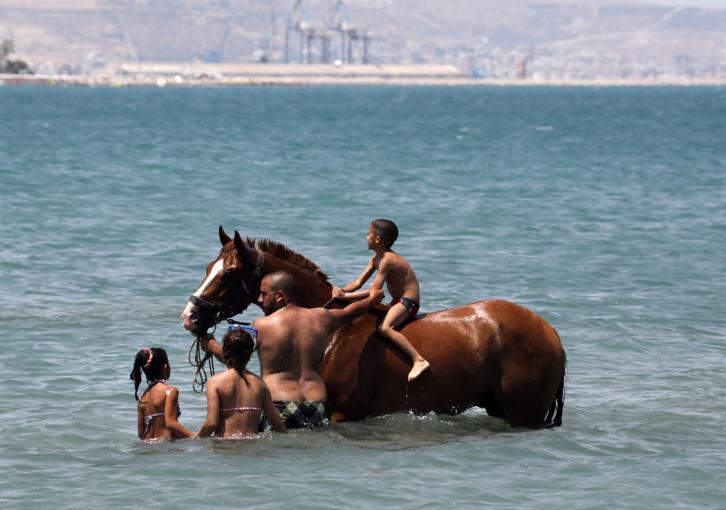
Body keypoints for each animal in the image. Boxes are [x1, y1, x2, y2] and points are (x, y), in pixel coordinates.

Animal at [182, 225, 568, 428]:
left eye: (229, 273)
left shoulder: (342, 414)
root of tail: (550, 332)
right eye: (208, 268)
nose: (191, 316)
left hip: (524, 413)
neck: (334, 332)